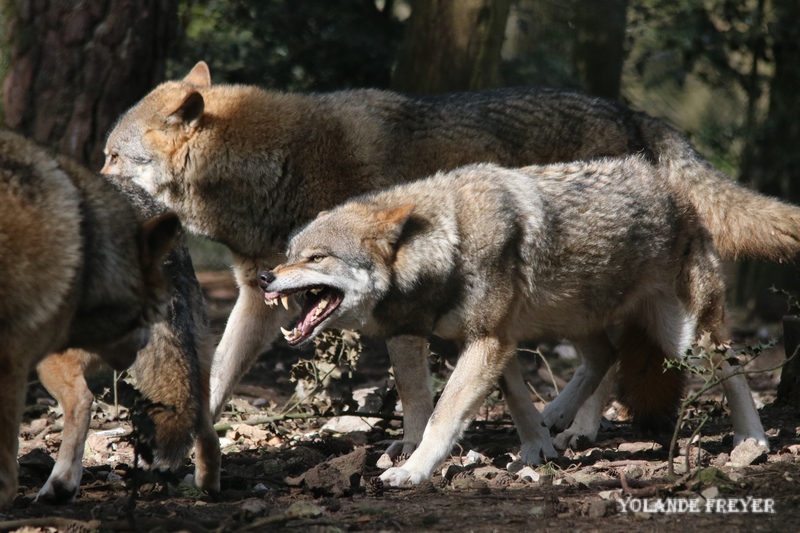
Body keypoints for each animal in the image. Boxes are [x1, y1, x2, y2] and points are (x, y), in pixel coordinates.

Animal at [260, 157, 764, 482]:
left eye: (316, 257)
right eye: (289, 254)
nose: (266, 277)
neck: (451, 244)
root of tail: (677, 188)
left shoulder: (487, 341)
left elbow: (444, 415)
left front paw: (415, 470)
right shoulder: (484, 339)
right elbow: (500, 398)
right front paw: (536, 447)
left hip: (685, 340)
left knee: (734, 369)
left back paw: (752, 441)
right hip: (575, 322)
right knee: (607, 357)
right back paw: (561, 416)